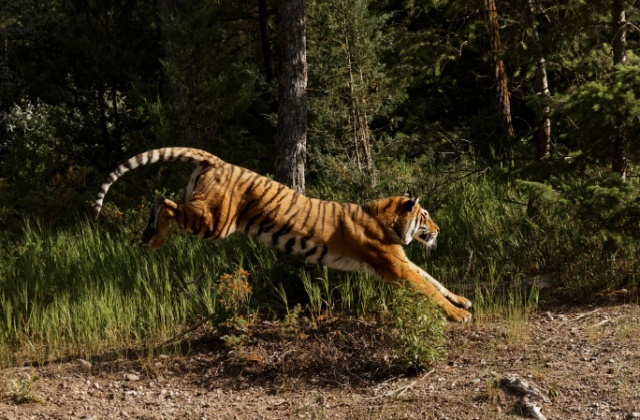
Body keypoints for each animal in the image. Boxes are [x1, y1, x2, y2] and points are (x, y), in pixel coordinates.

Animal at [95, 148, 472, 322]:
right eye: (426, 216)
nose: (438, 230)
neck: (386, 219)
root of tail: (216, 160)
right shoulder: (394, 265)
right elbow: (425, 287)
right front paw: (458, 315)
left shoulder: (401, 261)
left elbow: (433, 280)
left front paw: (462, 300)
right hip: (215, 222)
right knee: (163, 201)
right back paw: (154, 238)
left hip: (206, 213)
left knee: (163, 199)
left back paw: (149, 236)